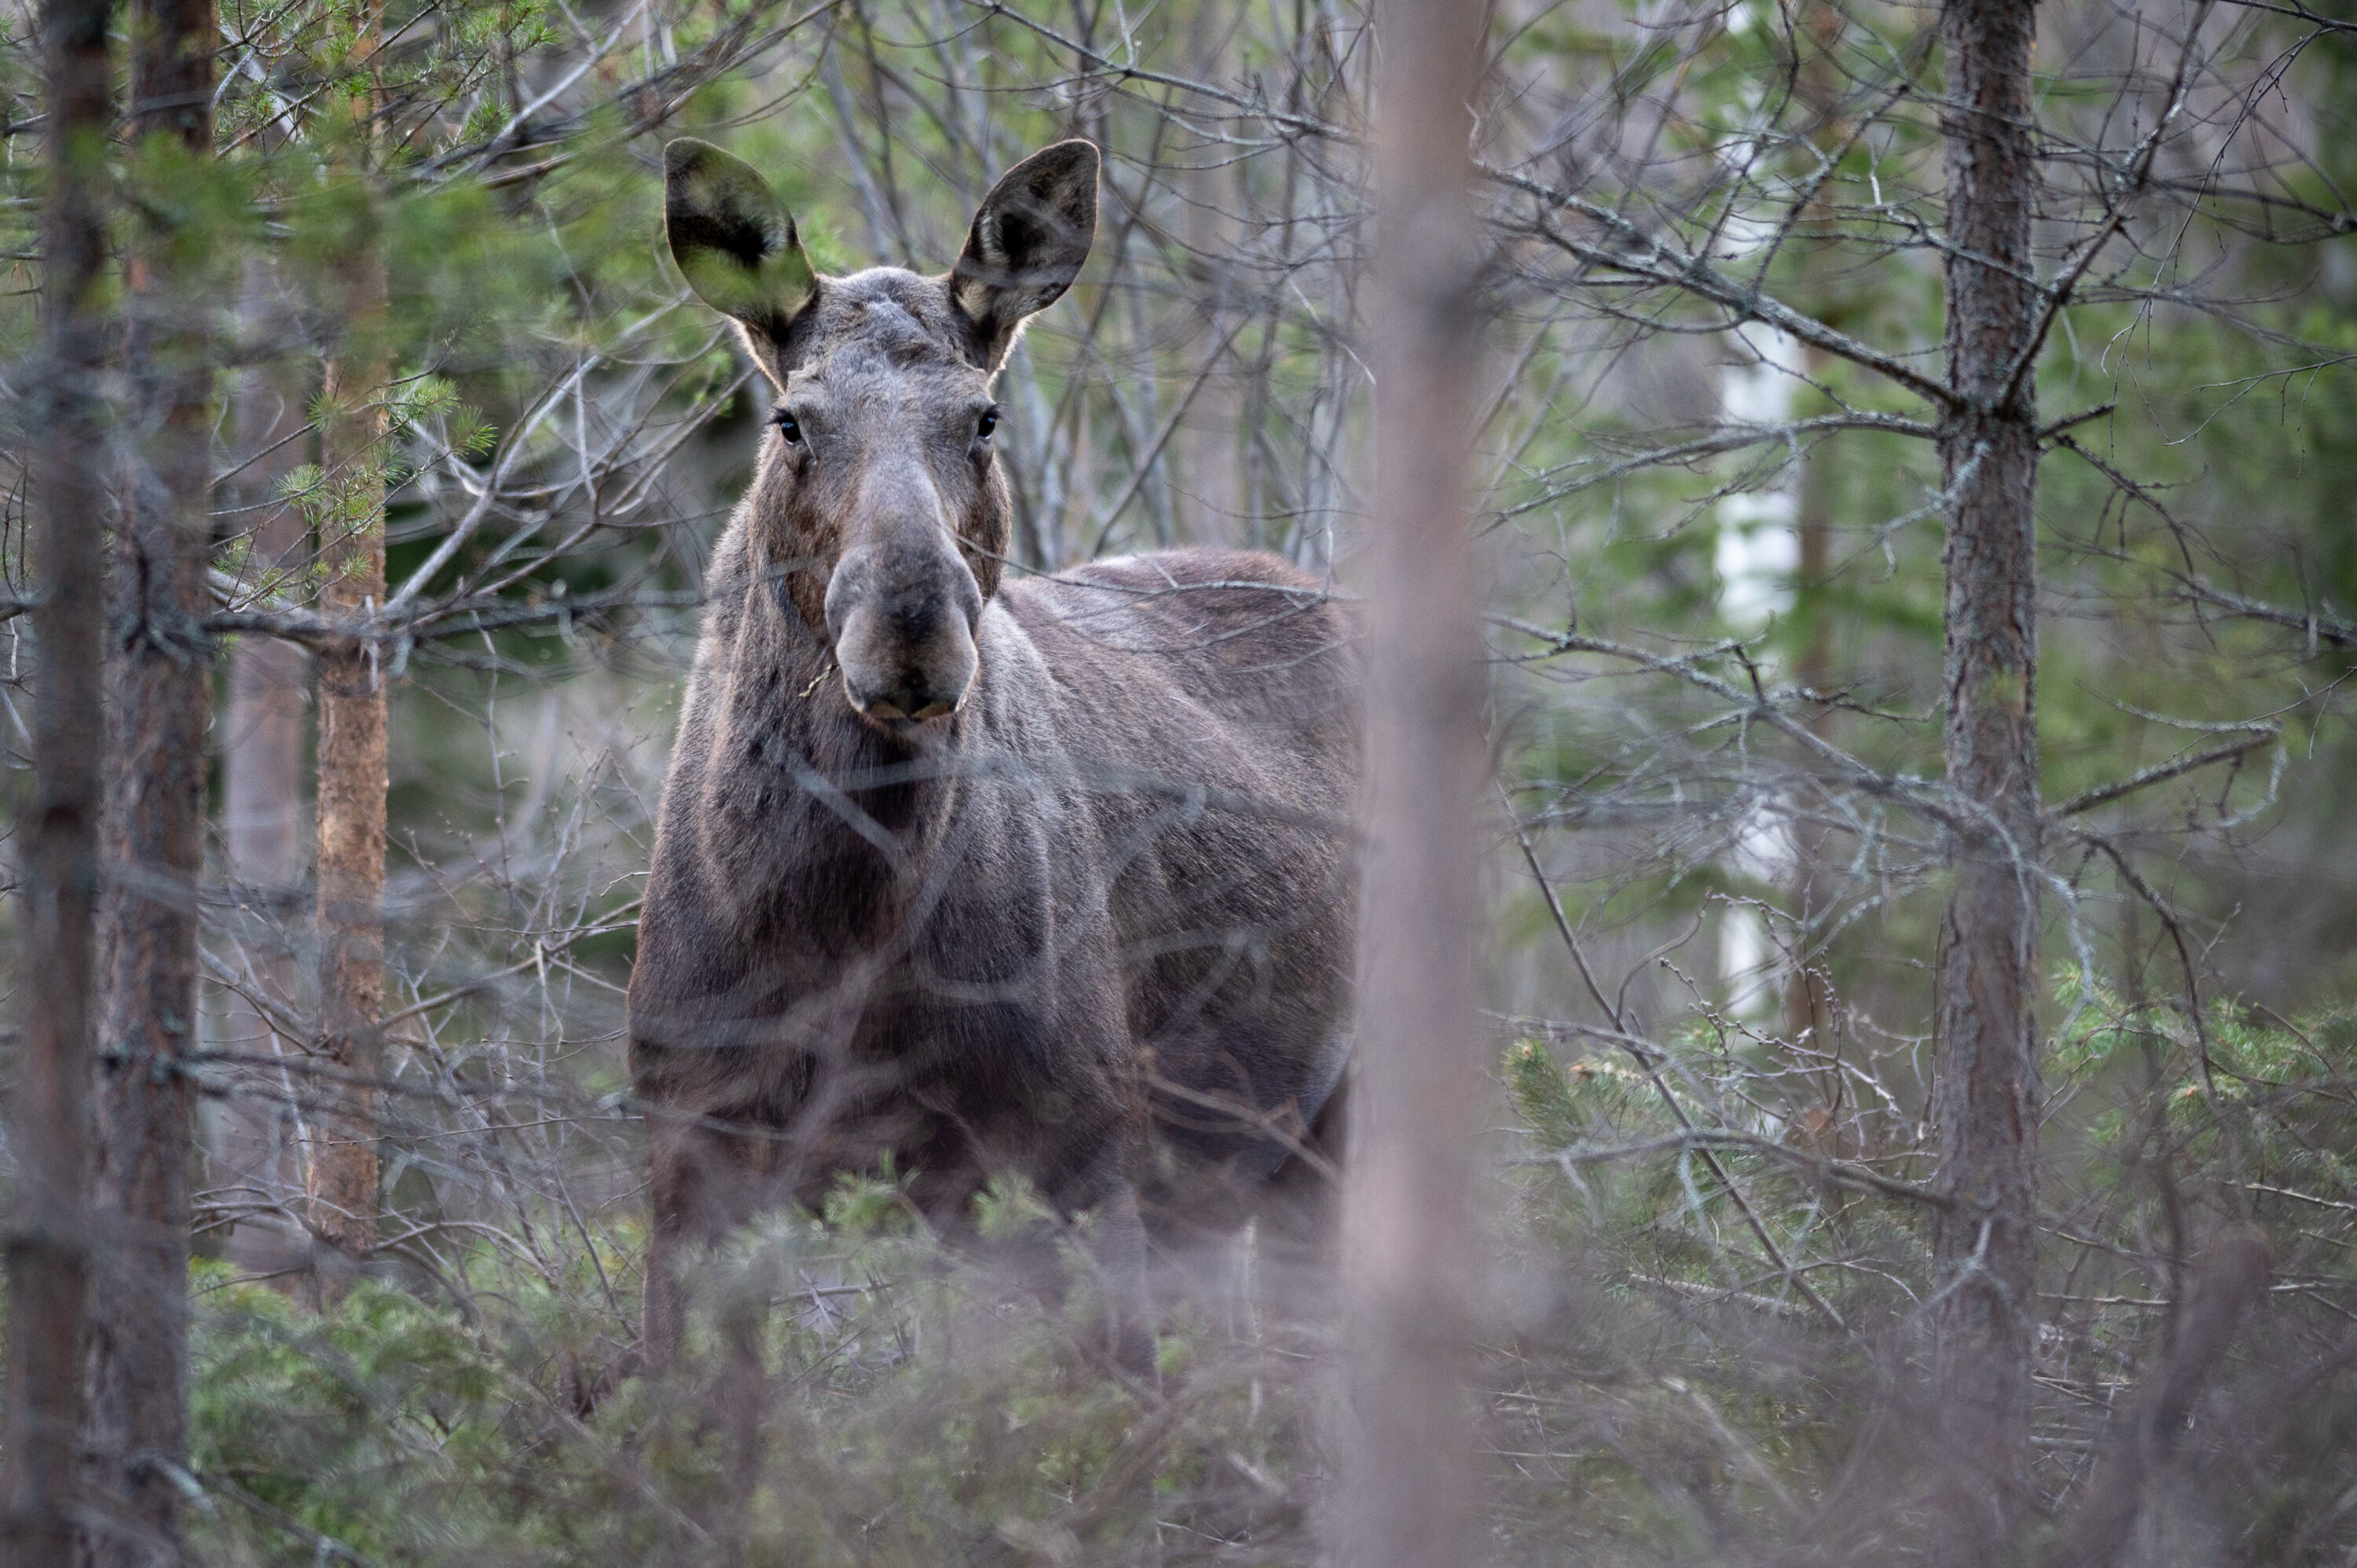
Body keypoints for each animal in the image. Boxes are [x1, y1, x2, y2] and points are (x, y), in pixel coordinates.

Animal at [628, 134, 1357, 1366]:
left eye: (983, 416)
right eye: (792, 421)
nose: (912, 627)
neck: (831, 921)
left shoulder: (1076, 1156)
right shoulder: (689, 1153)